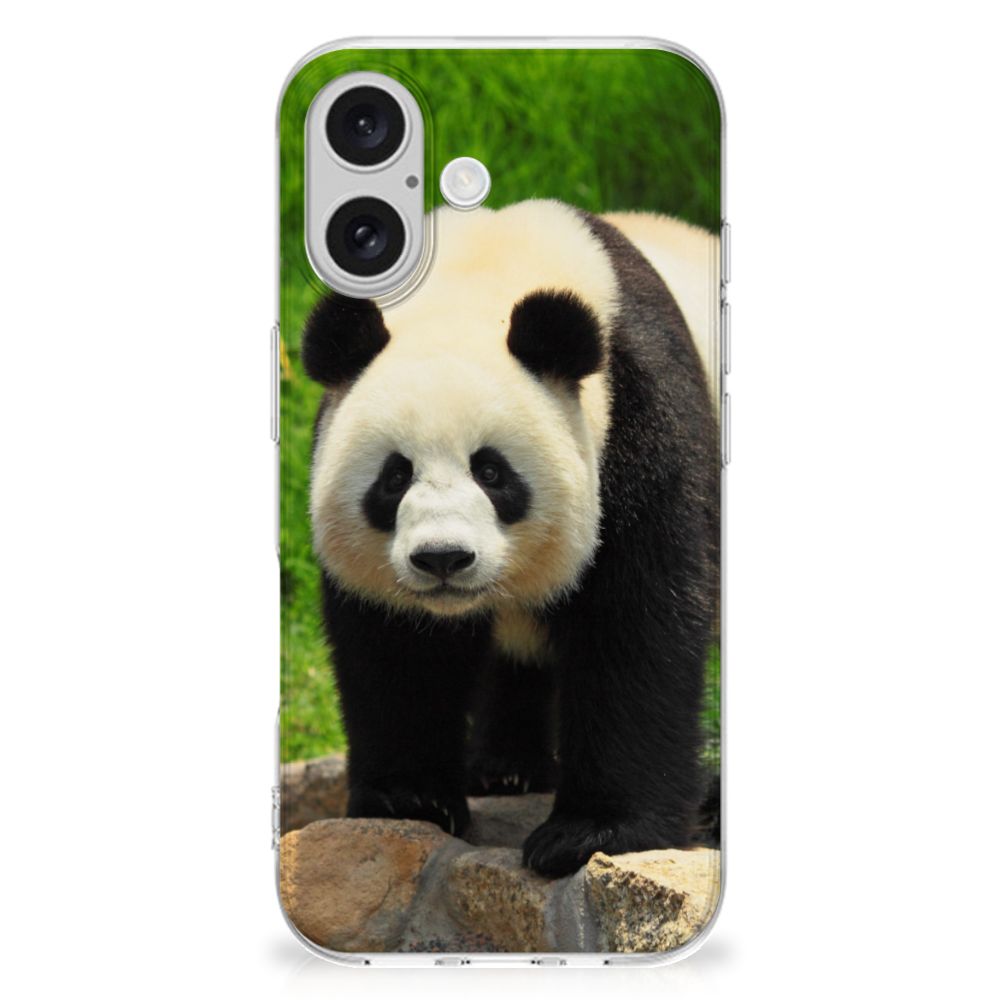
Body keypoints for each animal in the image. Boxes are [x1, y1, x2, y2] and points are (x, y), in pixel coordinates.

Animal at [301, 199, 720, 878]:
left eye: (492, 472)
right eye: (395, 476)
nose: (443, 558)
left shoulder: (639, 420)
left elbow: (637, 623)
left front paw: (592, 833)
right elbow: (397, 649)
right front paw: (408, 799)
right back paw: (505, 769)